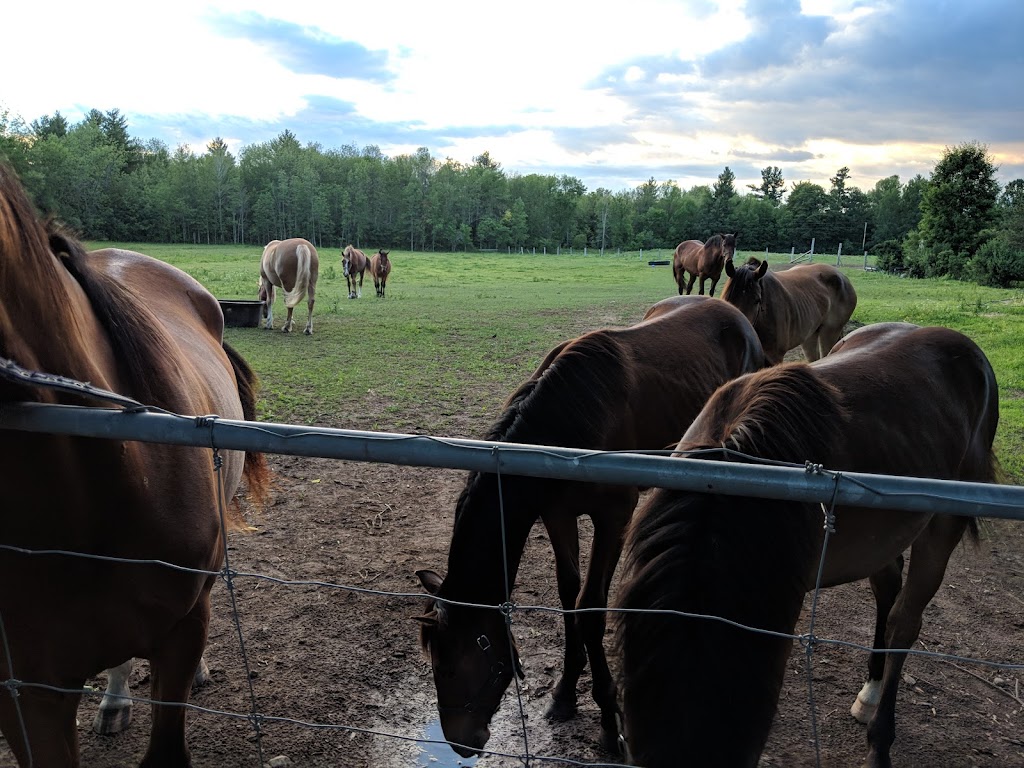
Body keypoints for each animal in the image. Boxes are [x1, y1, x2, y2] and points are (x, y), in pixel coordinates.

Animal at [411, 294, 765, 757]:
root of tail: (734, 313)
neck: (570, 423)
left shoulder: (612, 518)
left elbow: (591, 606)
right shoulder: (557, 515)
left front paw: (609, 719)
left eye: (451, 667)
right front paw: (564, 693)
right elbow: (569, 598)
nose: (460, 743)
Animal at [724, 259, 860, 366]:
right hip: (810, 335)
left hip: (829, 332)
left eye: (757, 300)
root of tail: (842, 277)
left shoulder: (775, 357)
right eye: (728, 299)